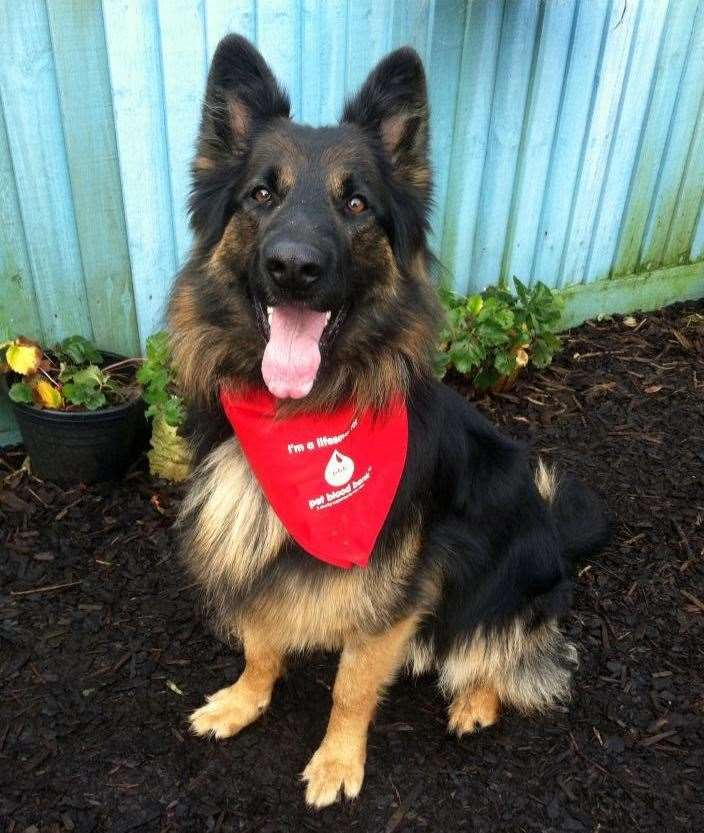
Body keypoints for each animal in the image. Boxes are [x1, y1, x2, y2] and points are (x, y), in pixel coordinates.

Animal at [168, 34, 608, 808]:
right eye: (261, 194)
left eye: (356, 202)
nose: (293, 267)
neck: (302, 414)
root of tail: (556, 538)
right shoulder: (248, 539)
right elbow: (260, 639)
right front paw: (244, 699)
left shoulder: (396, 588)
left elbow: (350, 685)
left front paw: (338, 760)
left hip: (506, 579)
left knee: (511, 655)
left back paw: (475, 699)